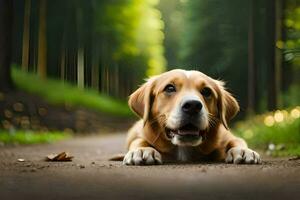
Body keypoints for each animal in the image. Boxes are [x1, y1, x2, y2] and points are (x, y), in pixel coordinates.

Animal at [123, 69, 262, 166]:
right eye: (169, 88)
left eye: (206, 91)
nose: (192, 106)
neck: (184, 148)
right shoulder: (140, 136)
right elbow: (139, 141)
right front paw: (142, 150)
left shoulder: (227, 136)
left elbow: (237, 140)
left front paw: (243, 150)